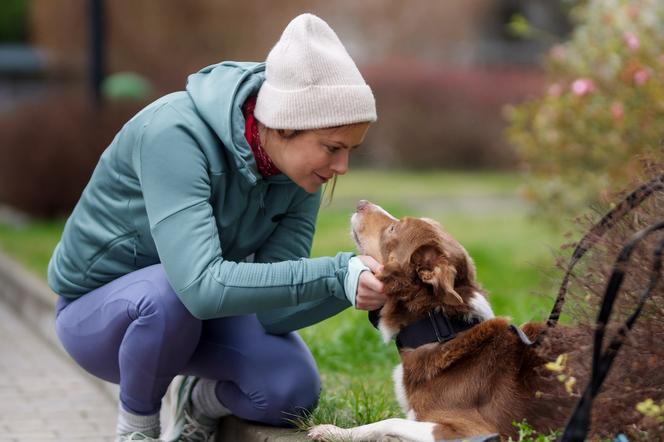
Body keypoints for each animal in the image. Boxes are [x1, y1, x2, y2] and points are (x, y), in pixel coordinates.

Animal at [308, 201, 580, 442]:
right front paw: (336, 432)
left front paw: (335, 431)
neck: (440, 329)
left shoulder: (472, 430)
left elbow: (391, 422)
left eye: (394, 229)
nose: (361, 202)